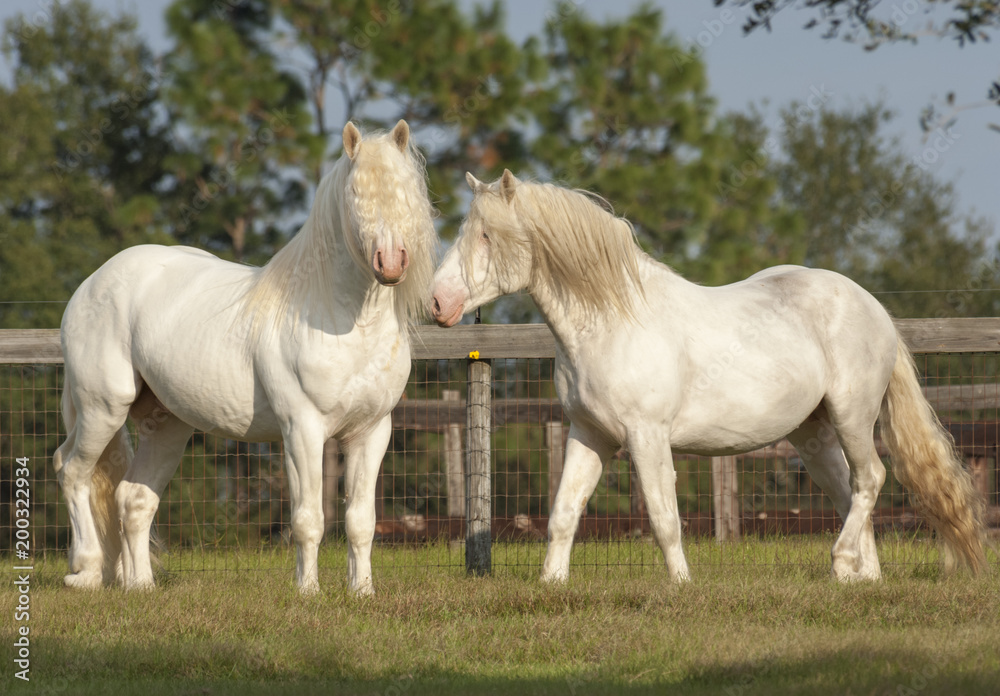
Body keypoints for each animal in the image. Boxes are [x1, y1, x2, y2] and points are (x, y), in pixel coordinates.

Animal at [53, 120, 437, 595]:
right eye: (355, 194)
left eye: (407, 190)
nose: (391, 263)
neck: (344, 319)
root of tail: (90, 284)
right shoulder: (302, 430)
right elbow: (308, 520)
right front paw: (308, 593)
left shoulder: (371, 432)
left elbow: (360, 521)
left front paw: (362, 592)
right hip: (102, 408)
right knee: (72, 472)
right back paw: (86, 572)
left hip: (167, 425)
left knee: (133, 499)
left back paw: (140, 585)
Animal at [430, 169, 987, 583]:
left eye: (486, 234)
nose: (437, 302)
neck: (612, 321)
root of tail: (873, 307)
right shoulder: (588, 433)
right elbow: (564, 512)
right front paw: (551, 584)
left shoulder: (647, 436)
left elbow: (663, 517)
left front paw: (681, 585)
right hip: (812, 432)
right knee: (849, 491)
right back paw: (861, 578)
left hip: (853, 415)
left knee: (870, 478)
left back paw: (841, 563)